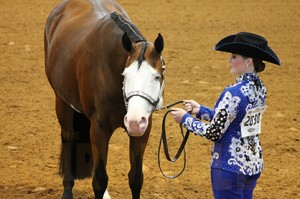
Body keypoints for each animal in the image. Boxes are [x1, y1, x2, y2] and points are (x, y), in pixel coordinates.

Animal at [44, 0, 166, 198]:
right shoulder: (99, 129)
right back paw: (67, 190)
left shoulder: (143, 131)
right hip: (62, 102)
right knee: (68, 138)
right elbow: (100, 180)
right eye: (125, 75)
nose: (134, 121)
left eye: (157, 76)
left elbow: (136, 178)